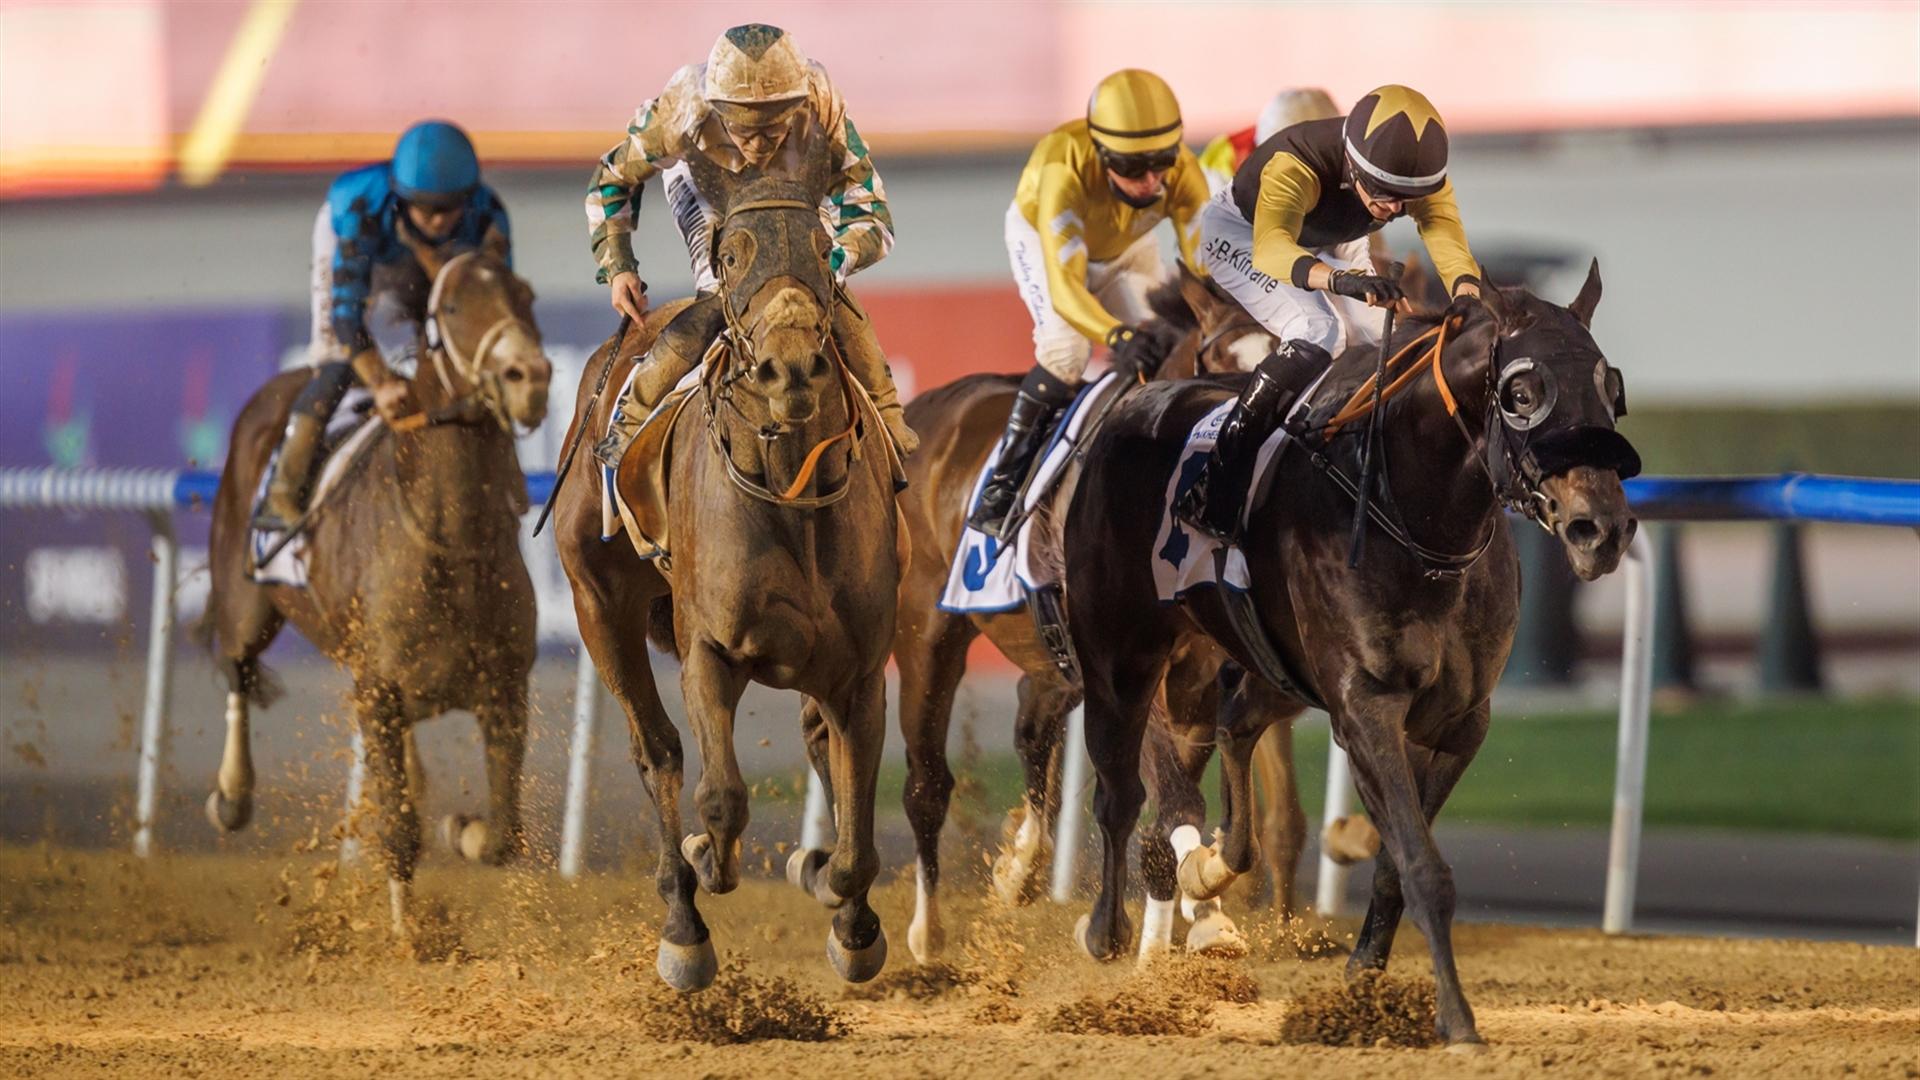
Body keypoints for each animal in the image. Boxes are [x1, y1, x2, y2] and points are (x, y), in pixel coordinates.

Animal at [199, 251, 553, 935]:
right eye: (452, 307)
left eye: (525, 295)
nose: (531, 377)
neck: (451, 540)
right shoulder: (378, 692)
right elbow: (399, 828)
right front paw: (410, 933)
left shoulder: (504, 686)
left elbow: (504, 833)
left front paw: (462, 829)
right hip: (246, 596)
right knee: (236, 666)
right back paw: (231, 794)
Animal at [552, 176, 901, 991]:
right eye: (733, 257)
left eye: (822, 248)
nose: (791, 366)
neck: (791, 497)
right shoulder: (708, 651)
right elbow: (721, 798)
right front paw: (702, 862)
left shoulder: (860, 670)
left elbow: (857, 834)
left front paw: (850, 921)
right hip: (598, 605)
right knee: (657, 750)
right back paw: (683, 920)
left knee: (817, 745)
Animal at [892, 265, 1331, 965]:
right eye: (1221, 361)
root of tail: (922, 413)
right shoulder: (1131, 668)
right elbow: (1173, 795)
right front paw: (1191, 916)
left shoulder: (1196, 678)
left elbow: (1176, 797)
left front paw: (1189, 918)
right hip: (926, 629)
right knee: (928, 783)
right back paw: (926, 932)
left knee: (1031, 723)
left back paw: (1020, 867)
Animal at [1062, 262, 1639, 1047]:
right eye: (1522, 394)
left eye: (1609, 390)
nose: (1600, 528)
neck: (1422, 522)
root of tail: (1139, 400)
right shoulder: (1365, 706)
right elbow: (1422, 863)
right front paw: (1456, 1018)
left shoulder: (1460, 721)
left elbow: (1397, 862)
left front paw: (1365, 977)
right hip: (1118, 656)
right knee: (1120, 793)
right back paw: (1107, 930)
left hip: (1266, 663)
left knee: (1235, 726)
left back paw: (1212, 867)